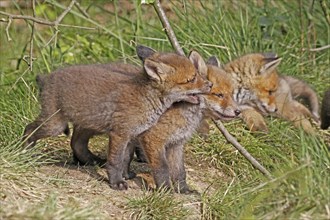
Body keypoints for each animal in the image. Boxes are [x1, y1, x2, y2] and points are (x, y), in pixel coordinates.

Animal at [22, 45, 211, 190]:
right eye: (191, 79)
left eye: (197, 75)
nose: (209, 85)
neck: (147, 99)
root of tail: (46, 77)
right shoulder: (120, 133)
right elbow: (116, 161)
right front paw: (116, 183)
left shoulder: (132, 135)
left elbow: (125, 159)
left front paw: (124, 176)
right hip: (55, 125)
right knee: (29, 129)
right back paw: (25, 150)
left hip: (87, 122)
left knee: (77, 142)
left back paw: (89, 160)